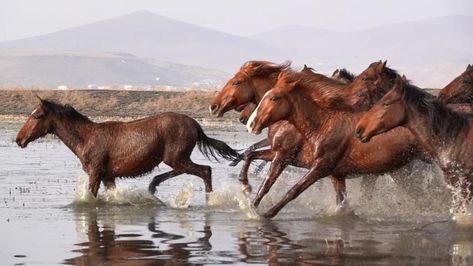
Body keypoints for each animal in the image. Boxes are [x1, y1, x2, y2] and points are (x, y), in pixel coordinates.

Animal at [16, 97, 238, 197]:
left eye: (37, 116)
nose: (19, 139)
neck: (85, 139)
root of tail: (195, 125)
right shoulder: (108, 177)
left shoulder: (95, 173)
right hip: (176, 159)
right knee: (185, 171)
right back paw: (153, 186)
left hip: (177, 158)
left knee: (205, 170)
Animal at [245, 69, 422, 218]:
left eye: (274, 98)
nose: (250, 124)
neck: (323, 124)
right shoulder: (334, 173)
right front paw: (248, 197)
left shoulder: (317, 165)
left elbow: (289, 188)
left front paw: (263, 213)